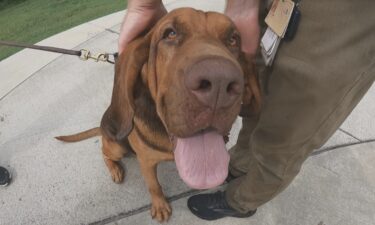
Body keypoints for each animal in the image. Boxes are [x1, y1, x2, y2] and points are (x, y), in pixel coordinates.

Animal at [56, 7, 262, 222]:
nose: (220, 84)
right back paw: (115, 169)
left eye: (233, 39)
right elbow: (154, 185)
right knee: (104, 152)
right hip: (117, 146)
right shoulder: (146, 162)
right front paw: (161, 206)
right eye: (170, 33)